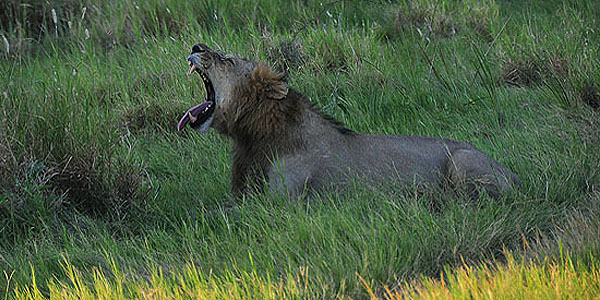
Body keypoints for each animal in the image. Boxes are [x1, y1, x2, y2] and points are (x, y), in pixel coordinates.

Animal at [176, 43, 516, 199]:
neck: (250, 139)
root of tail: (513, 174)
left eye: (226, 59)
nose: (196, 47)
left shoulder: (281, 201)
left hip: (462, 162)